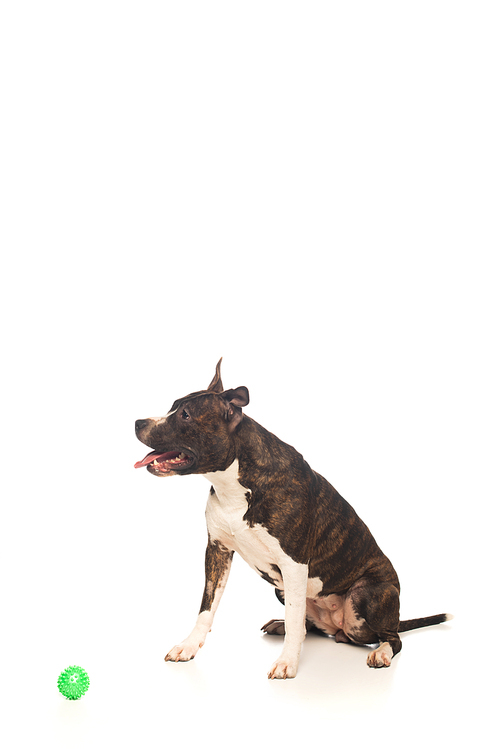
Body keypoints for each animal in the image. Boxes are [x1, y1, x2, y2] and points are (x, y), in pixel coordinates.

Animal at [135, 360, 452, 680]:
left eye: (185, 415)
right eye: (173, 407)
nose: (138, 422)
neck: (234, 483)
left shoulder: (294, 563)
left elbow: (293, 615)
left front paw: (287, 662)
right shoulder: (218, 550)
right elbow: (206, 607)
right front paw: (188, 646)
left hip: (366, 595)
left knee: (390, 637)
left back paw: (381, 652)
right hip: (282, 588)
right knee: (308, 625)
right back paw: (283, 625)